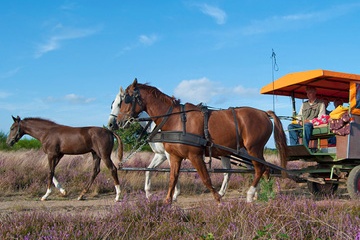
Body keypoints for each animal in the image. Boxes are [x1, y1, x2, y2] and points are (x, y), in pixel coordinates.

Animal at [118, 79, 290, 204]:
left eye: (125, 99)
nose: (119, 122)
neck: (176, 119)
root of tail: (264, 113)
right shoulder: (174, 156)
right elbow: (172, 178)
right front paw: (167, 201)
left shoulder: (194, 155)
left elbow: (206, 178)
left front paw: (218, 199)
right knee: (264, 169)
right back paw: (266, 193)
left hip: (253, 148)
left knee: (260, 169)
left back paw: (250, 194)